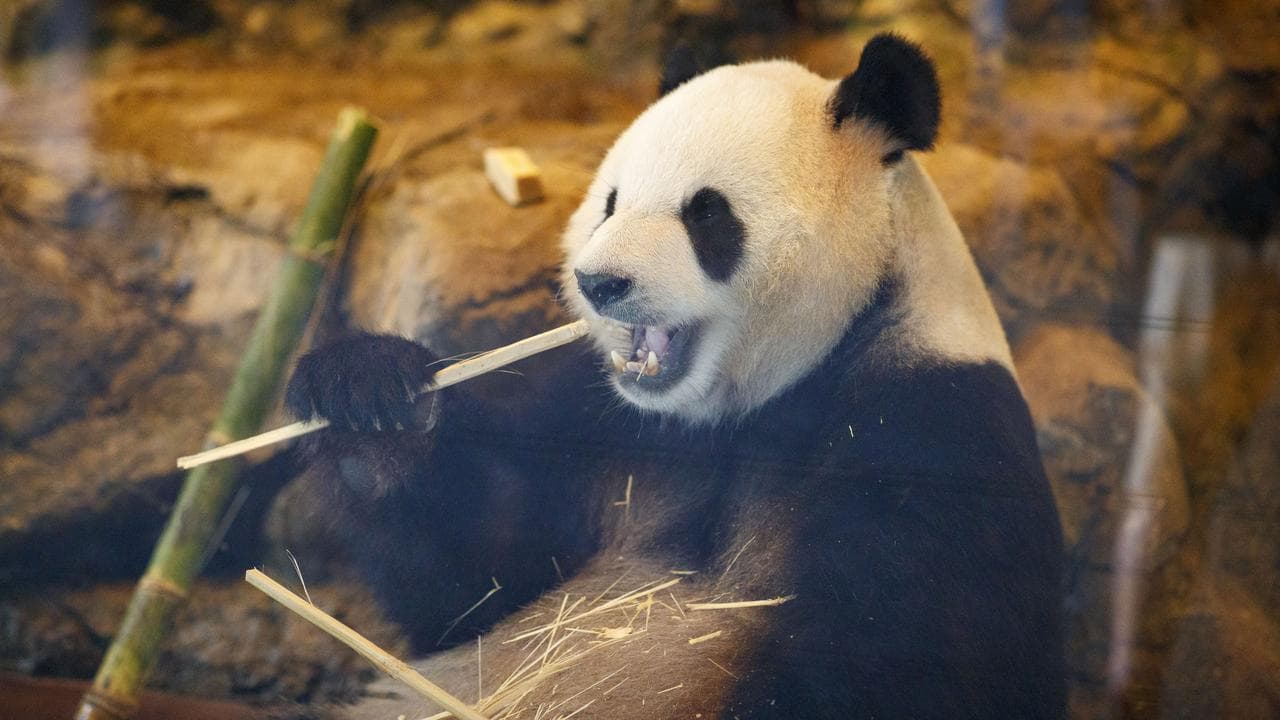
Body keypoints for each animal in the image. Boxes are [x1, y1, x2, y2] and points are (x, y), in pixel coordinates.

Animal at [283, 33, 1065, 720]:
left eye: (707, 214)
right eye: (610, 201)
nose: (598, 283)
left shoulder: (930, 435)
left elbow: (902, 663)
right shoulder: (611, 425)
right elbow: (478, 583)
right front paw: (368, 399)